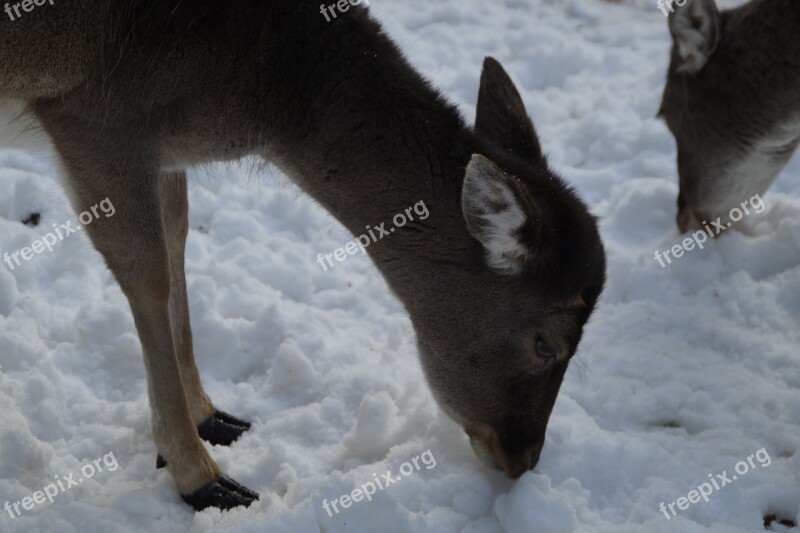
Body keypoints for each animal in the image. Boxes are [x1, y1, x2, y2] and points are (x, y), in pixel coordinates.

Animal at [0, 0, 608, 512]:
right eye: (546, 346)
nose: (522, 460)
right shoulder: (92, 122)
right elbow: (148, 278)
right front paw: (203, 479)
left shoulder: (162, 155)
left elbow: (178, 244)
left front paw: (211, 416)